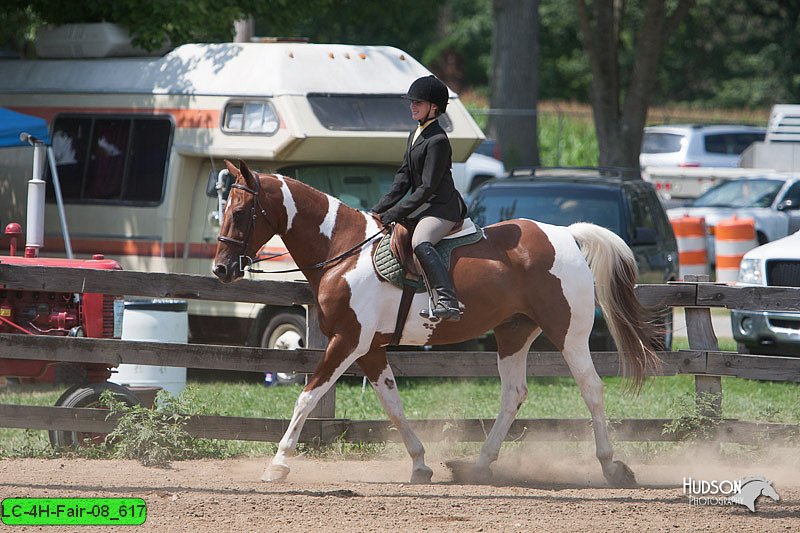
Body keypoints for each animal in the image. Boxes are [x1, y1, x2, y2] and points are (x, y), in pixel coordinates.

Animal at [212, 159, 656, 486]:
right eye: (224, 210)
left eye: (240, 212)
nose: (221, 269)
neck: (344, 249)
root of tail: (566, 234)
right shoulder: (370, 348)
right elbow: (392, 405)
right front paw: (420, 463)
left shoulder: (348, 340)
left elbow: (307, 396)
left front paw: (278, 464)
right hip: (513, 332)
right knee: (513, 394)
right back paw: (479, 466)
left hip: (569, 334)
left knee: (591, 389)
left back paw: (612, 467)